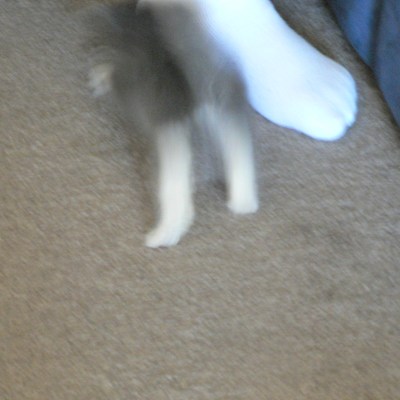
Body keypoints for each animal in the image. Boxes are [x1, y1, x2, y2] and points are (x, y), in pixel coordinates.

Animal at [88, 0, 258, 248]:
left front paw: (100, 76)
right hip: (224, 107)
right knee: (238, 151)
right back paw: (243, 202)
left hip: (171, 136)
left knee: (177, 191)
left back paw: (163, 234)